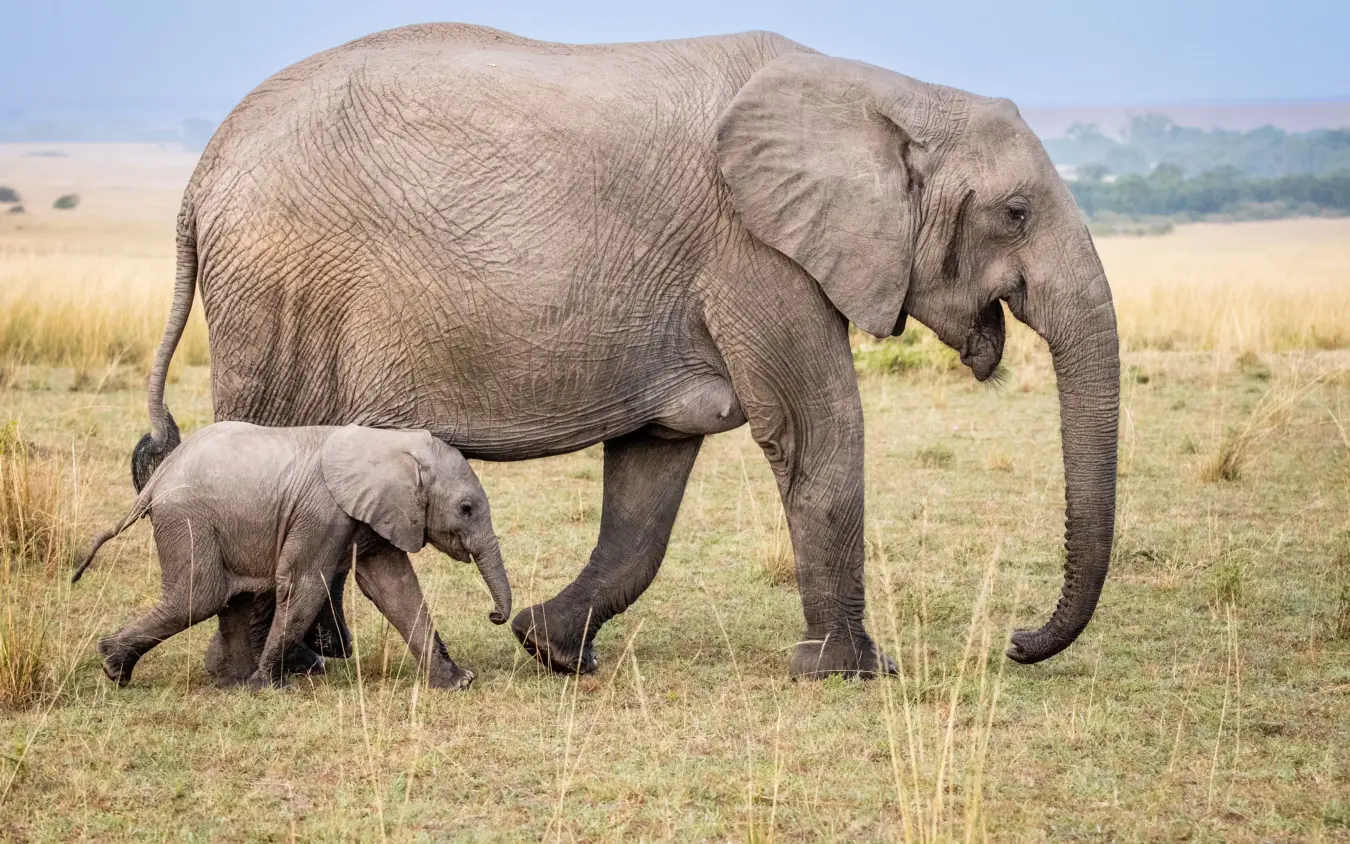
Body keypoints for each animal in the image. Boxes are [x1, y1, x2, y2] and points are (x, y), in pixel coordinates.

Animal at [79, 422, 511, 690]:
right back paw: (113, 667)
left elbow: (395, 589)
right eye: (466, 509)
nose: (494, 615)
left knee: (232, 598)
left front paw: (459, 682)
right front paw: (271, 687)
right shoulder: (321, 512)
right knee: (200, 596)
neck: (389, 443)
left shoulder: (376, 515)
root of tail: (156, 479)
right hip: (187, 519)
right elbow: (306, 585)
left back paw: (231, 683)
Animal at [131, 23, 1118, 679]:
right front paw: (849, 673)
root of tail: (201, 172)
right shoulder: (754, 252)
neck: (885, 94)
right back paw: (273, 669)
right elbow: (820, 434)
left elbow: (650, 479)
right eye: (1016, 212)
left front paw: (549, 648)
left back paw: (319, 660)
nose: (1015, 643)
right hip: (276, 295)